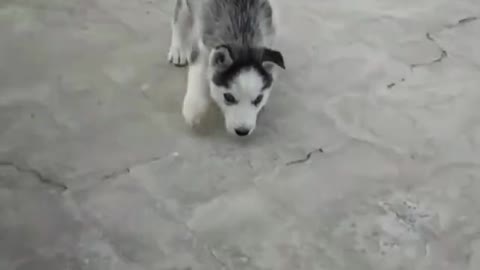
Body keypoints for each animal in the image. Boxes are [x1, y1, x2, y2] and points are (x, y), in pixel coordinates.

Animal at [168, 0, 284, 136]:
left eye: (258, 99)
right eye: (229, 97)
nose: (242, 131)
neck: (243, 38)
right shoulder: (206, 46)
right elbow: (199, 73)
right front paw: (193, 108)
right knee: (180, 14)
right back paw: (178, 49)